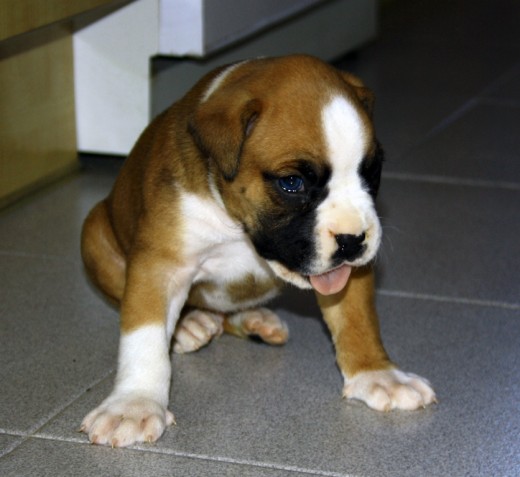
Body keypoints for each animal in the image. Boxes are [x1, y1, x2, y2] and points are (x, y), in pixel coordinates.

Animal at [79, 55, 434, 446]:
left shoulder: (346, 274)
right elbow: (144, 336)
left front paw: (377, 373)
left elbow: (357, 319)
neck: (236, 223)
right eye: (292, 183)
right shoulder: (161, 264)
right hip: (94, 232)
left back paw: (253, 319)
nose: (353, 240)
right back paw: (190, 324)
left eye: (371, 171)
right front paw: (134, 403)